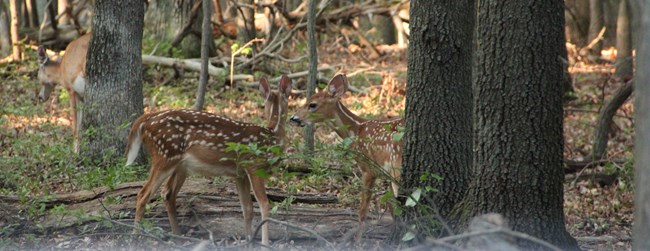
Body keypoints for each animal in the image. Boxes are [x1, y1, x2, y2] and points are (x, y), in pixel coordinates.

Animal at [124, 75, 292, 244]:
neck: (272, 135)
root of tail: (145, 120)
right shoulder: (254, 166)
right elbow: (264, 204)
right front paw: (264, 243)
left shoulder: (240, 174)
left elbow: (247, 209)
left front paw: (248, 241)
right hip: (165, 154)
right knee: (143, 194)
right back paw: (135, 237)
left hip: (179, 164)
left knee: (167, 193)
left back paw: (178, 236)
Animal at [288, 74, 400, 241]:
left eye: (312, 104)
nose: (293, 118)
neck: (357, 130)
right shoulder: (385, 173)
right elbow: (392, 207)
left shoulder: (368, 168)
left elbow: (363, 212)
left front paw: (357, 242)